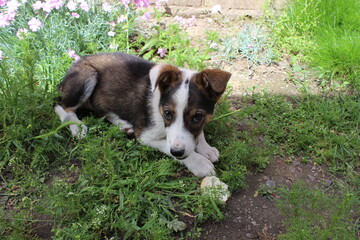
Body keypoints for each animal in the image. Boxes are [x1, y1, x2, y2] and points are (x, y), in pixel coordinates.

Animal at [54, 52, 231, 176]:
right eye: (168, 113)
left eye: (198, 116)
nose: (178, 152)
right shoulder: (145, 136)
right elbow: (167, 146)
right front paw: (198, 162)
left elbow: (199, 133)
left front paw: (205, 148)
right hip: (86, 77)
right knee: (61, 106)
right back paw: (77, 128)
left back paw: (123, 125)